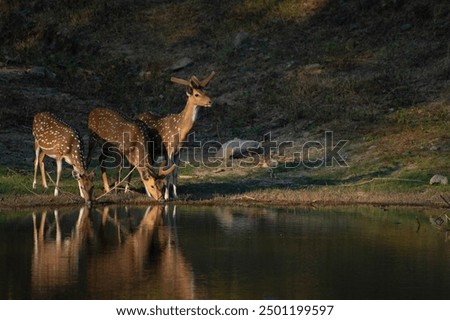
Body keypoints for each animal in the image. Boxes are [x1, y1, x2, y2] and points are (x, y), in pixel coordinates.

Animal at [138, 71, 215, 199]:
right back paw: (144, 193)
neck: (181, 130)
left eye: (205, 92)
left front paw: (175, 194)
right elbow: (168, 171)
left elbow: (175, 172)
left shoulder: (180, 150)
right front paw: (166, 196)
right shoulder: (169, 147)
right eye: (196, 94)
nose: (210, 102)